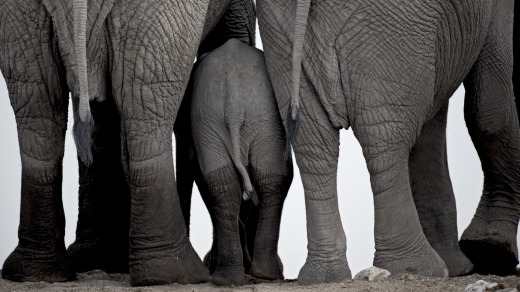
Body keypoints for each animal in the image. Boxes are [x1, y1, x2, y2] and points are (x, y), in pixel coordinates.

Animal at [175, 38, 292, 286]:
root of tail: (233, 104)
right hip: (232, 123)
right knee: (265, 181)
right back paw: (258, 274)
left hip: (229, 121)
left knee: (232, 184)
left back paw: (234, 277)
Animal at [258, 0, 520, 284]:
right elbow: (489, 110)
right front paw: (491, 252)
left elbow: (433, 119)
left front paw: (467, 263)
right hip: (391, 25)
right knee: (386, 138)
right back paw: (418, 269)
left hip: (281, 32)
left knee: (314, 145)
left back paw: (323, 277)